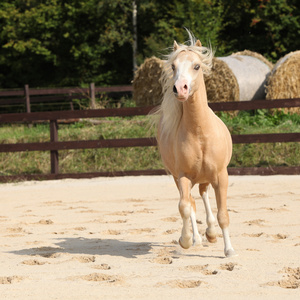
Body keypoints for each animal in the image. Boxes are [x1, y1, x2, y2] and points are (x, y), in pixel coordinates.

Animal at [155, 32, 237, 258]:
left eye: (197, 66)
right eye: (173, 66)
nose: (180, 88)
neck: (200, 133)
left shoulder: (221, 176)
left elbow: (223, 214)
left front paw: (229, 250)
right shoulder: (182, 176)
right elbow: (184, 207)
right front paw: (185, 240)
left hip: (206, 178)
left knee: (203, 196)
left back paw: (211, 233)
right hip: (181, 178)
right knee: (191, 202)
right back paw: (198, 238)